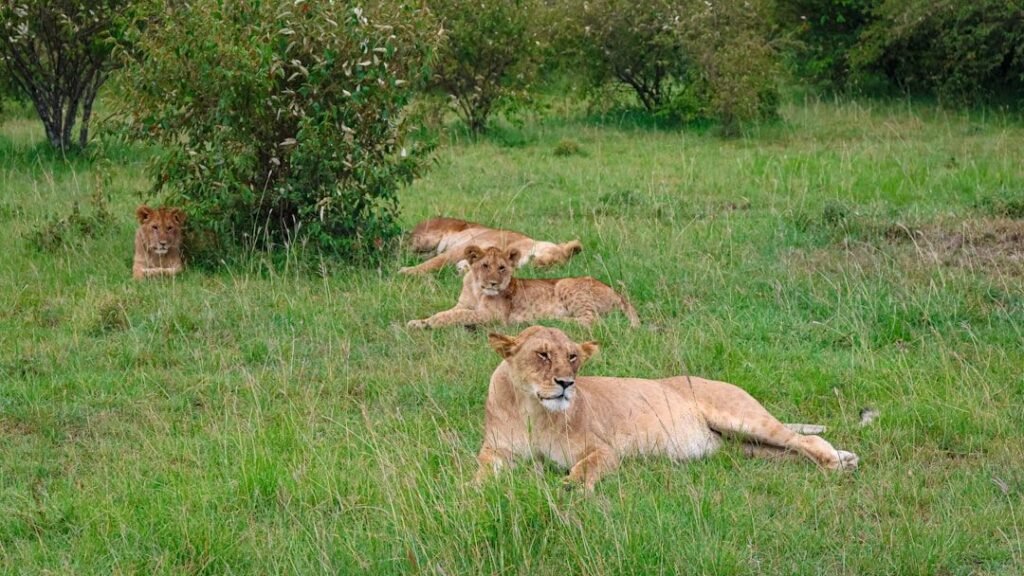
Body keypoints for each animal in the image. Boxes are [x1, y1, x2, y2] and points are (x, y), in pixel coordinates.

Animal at [399, 217, 583, 275]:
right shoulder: (460, 249)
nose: (536, 266)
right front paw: (407, 272)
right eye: (550, 259)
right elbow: (435, 263)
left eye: (549, 268)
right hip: (425, 241)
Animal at [406, 245, 639, 329]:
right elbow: (446, 312)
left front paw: (430, 323)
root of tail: (617, 293)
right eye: (485, 266)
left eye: (502, 268)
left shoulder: (494, 317)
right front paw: (419, 322)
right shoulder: (462, 304)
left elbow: (456, 316)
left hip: (565, 283)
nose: (493, 283)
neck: (476, 289)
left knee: (591, 320)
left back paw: (544, 320)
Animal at [476, 326, 859, 490]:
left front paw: (569, 487)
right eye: (542, 354)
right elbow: (480, 474)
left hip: (743, 419)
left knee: (804, 441)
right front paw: (472, 491)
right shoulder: (496, 451)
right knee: (789, 452)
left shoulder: (604, 450)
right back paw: (843, 459)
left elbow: (585, 470)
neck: (532, 409)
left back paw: (838, 463)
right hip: (744, 448)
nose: (566, 383)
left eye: (572, 357)